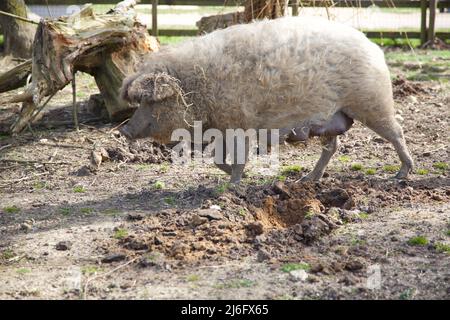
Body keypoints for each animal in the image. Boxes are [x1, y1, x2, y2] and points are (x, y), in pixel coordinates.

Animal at [118, 16, 414, 184]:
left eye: (151, 102)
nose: (124, 130)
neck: (197, 87)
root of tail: (374, 48)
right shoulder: (224, 127)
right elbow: (217, 160)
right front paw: (240, 178)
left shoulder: (240, 124)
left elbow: (237, 158)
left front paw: (233, 186)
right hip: (333, 117)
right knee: (332, 148)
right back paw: (307, 180)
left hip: (372, 103)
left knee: (397, 132)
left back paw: (401, 174)